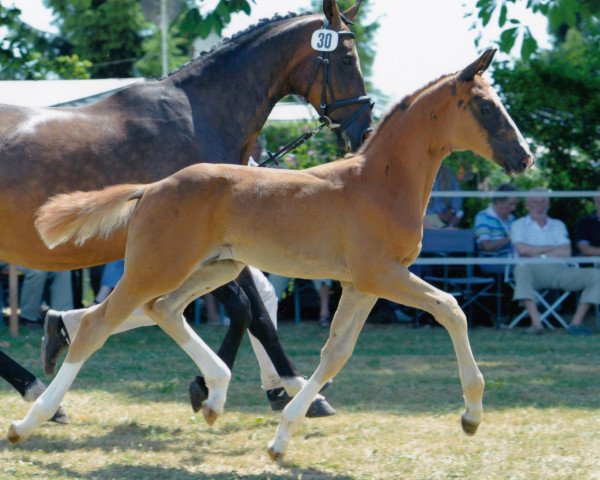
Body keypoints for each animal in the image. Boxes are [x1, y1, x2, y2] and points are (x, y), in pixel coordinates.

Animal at [1, 0, 370, 410]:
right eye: (347, 59)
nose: (364, 130)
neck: (200, 117)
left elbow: (254, 309)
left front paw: (284, 386)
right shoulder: (192, 245)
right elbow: (247, 311)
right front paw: (216, 386)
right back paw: (35, 387)